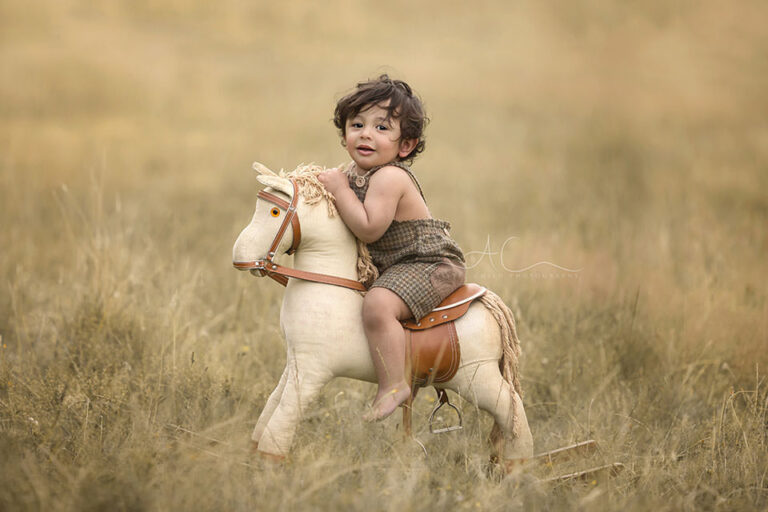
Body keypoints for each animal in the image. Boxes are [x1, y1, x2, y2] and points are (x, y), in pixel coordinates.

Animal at [232, 163, 534, 468]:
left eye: (274, 211)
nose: (240, 257)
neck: (329, 283)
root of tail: (489, 303)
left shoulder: (311, 369)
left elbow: (281, 420)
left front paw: (268, 466)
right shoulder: (294, 363)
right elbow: (271, 407)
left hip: (478, 378)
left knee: (513, 411)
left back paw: (518, 468)